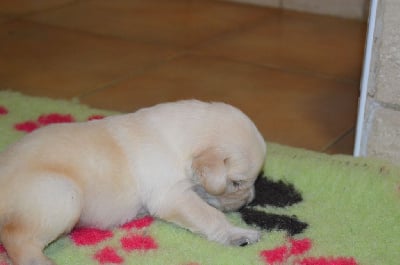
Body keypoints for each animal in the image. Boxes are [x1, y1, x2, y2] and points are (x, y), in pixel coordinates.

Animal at [0, 99, 268, 264]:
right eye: (237, 182)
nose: (249, 201)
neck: (180, 140)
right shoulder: (172, 196)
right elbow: (210, 216)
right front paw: (239, 233)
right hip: (62, 194)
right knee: (17, 239)